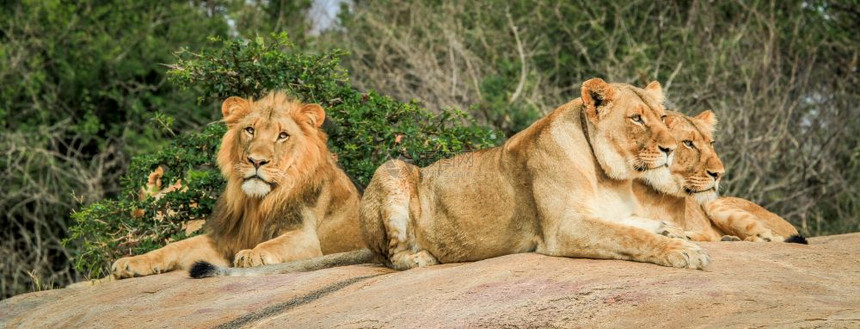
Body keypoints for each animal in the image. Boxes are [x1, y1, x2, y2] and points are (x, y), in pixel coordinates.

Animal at [109, 91, 364, 278]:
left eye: (283, 135)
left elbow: (273, 244)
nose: (256, 161)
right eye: (250, 130)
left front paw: (251, 255)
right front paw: (129, 263)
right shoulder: (221, 241)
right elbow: (174, 247)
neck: (256, 203)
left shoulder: (306, 239)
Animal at [191, 79, 708, 276]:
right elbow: (633, 238)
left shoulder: (604, 213)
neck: (611, 175)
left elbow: (642, 225)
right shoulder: (564, 229)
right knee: (392, 257)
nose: (668, 147)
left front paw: (679, 233)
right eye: (638, 119)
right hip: (394, 170)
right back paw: (420, 258)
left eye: (663, 116)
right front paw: (683, 251)